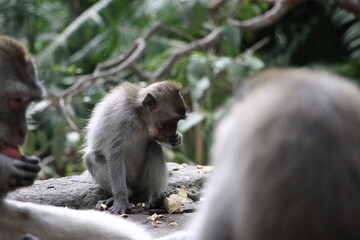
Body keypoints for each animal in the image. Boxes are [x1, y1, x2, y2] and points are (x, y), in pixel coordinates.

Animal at [84, 80, 186, 214]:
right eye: (172, 121)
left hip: (143, 180)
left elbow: (155, 140)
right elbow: (114, 154)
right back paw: (124, 196)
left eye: (177, 121)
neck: (140, 119)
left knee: (154, 147)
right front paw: (121, 200)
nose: (173, 132)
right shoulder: (119, 119)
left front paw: (177, 138)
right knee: (91, 158)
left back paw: (156, 197)